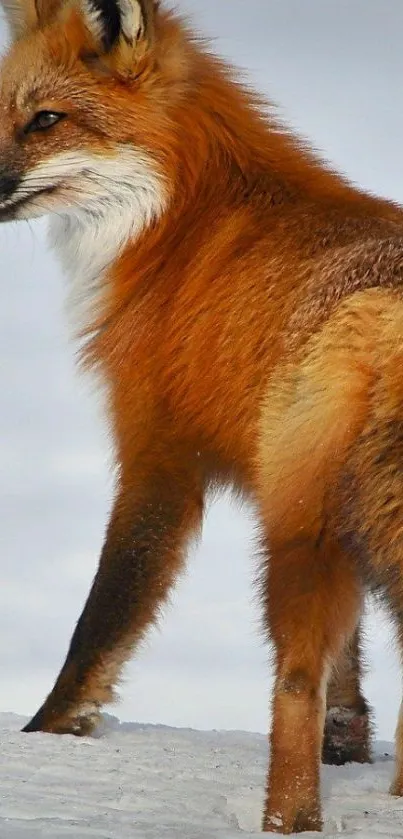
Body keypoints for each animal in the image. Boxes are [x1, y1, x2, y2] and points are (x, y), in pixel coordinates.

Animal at [0, 0, 403, 832]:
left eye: (46, 120)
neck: (180, 227)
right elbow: (350, 671)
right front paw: (350, 745)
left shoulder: (159, 454)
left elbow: (102, 620)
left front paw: (46, 734)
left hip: (294, 535)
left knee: (291, 682)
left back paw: (288, 819)